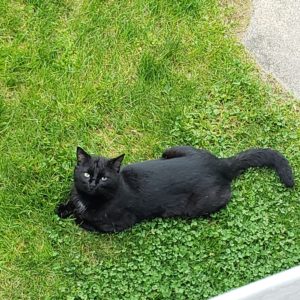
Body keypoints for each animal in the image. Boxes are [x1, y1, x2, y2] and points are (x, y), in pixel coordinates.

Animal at [56, 146, 292, 233]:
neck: (88, 199)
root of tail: (221, 164)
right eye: (87, 174)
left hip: (199, 206)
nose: (93, 183)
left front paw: (75, 217)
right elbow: (71, 206)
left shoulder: (120, 223)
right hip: (170, 150)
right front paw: (63, 209)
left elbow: (86, 222)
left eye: (104, 177)